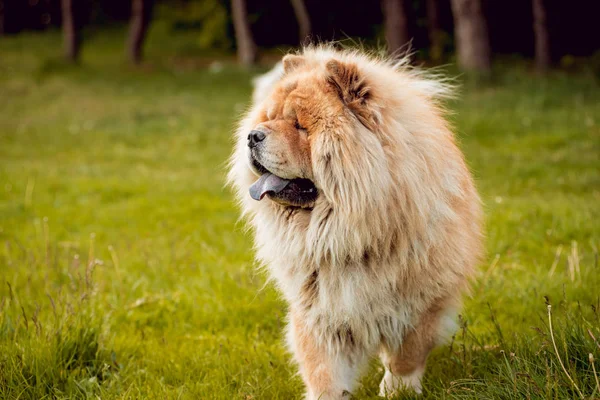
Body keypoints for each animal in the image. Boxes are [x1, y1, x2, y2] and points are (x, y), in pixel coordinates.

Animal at [227, 45, 486, 398]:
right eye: (270, 119)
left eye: (299, 126)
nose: (253, 136)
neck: (350, 233)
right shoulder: (318, 307)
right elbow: (323, 369)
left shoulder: (421, 301)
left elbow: (406, 354)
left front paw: (398, 390)